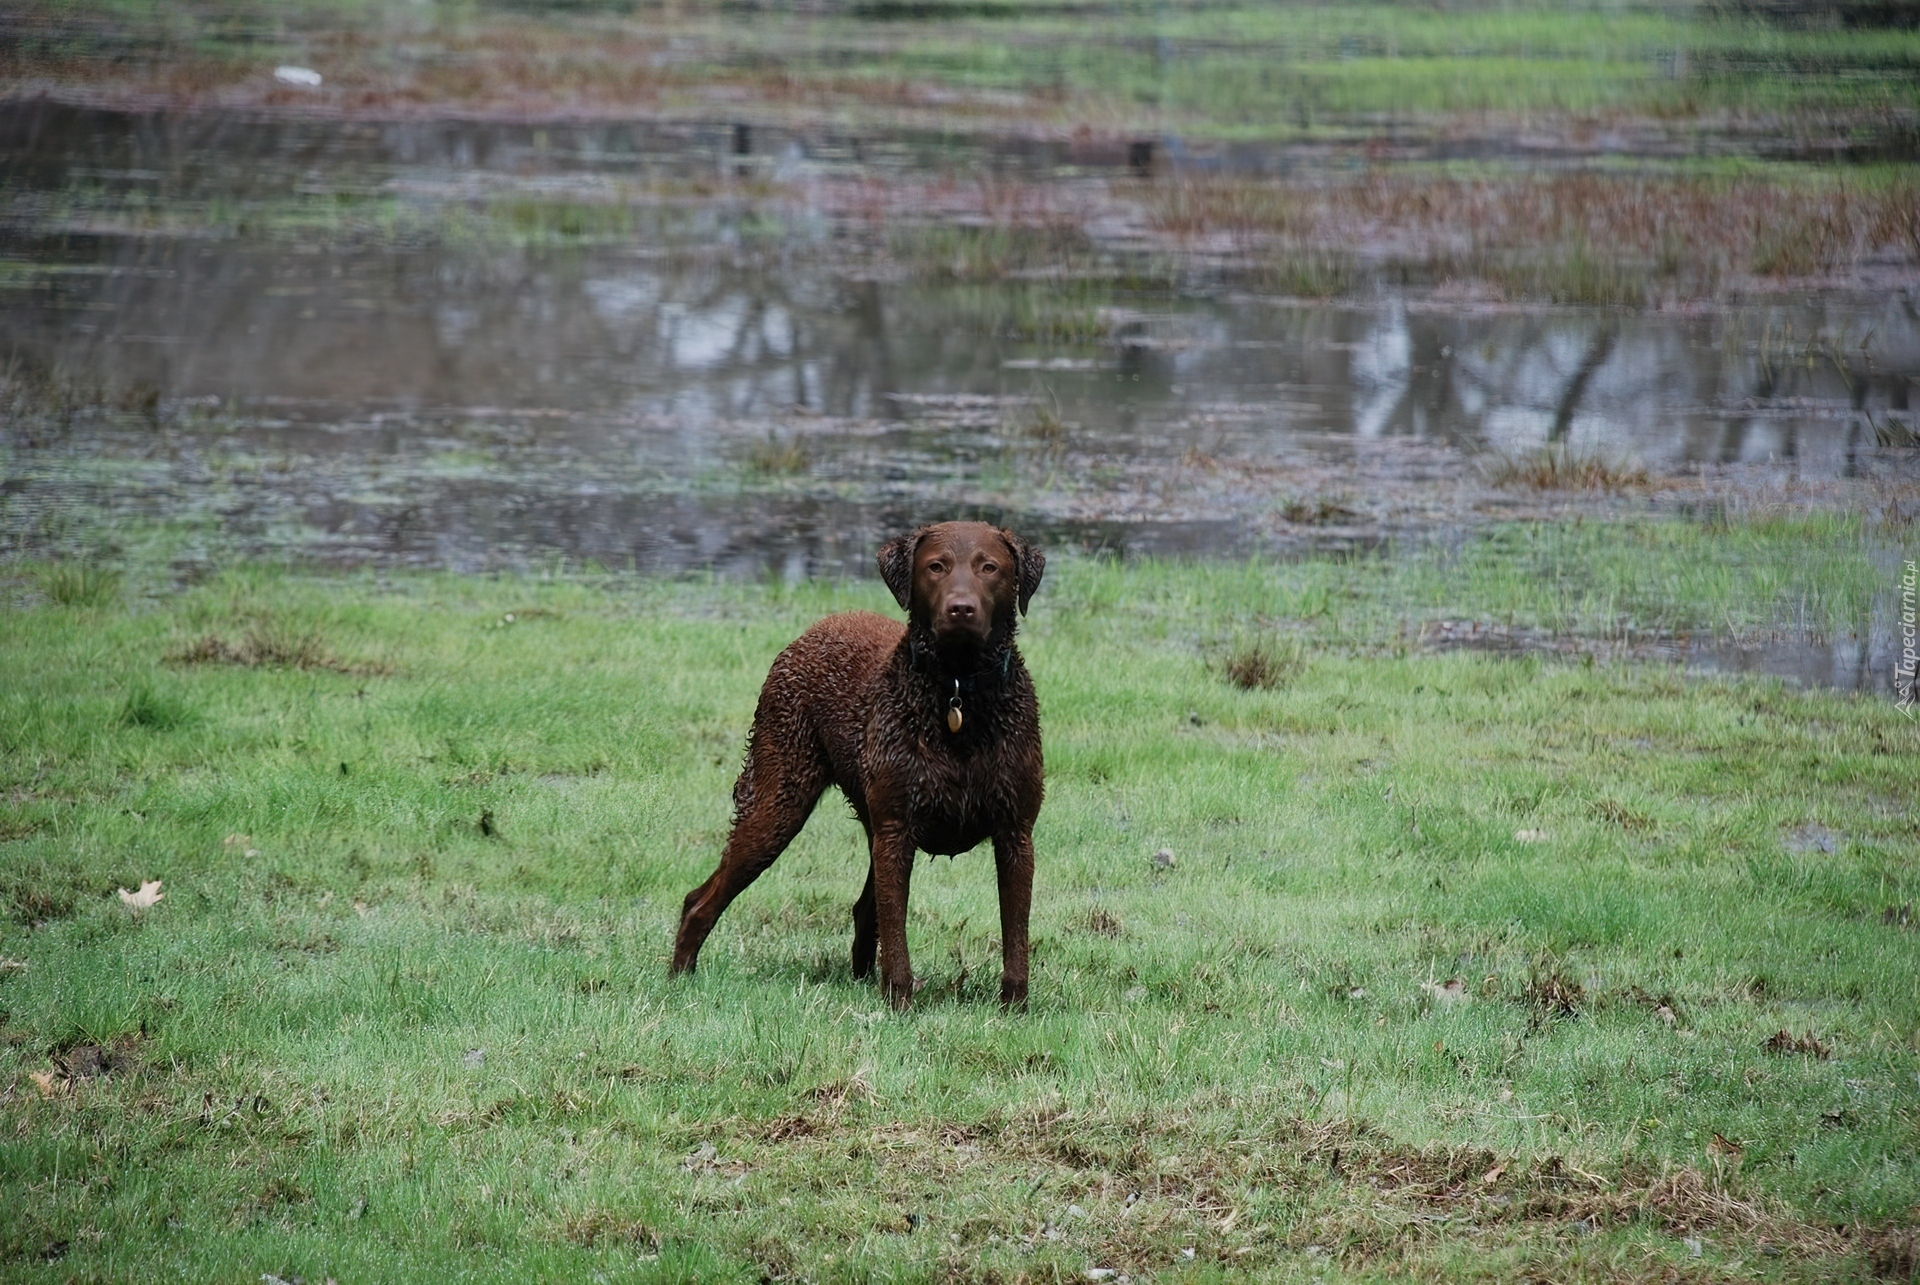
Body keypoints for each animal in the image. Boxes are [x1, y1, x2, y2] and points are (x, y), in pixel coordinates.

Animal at [668, 518, 1044, 998]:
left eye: (989, 567)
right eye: (936, 567)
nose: (961, 609)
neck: (957, 694)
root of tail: (818, 627)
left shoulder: (1015, 834)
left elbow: (1015, 936)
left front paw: (1014, 1006)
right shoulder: (897, 831)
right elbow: (897, 935)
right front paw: (899, 1002)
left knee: (865, 910)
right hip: (778, 804)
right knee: (700, 901)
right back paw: (679, 979)